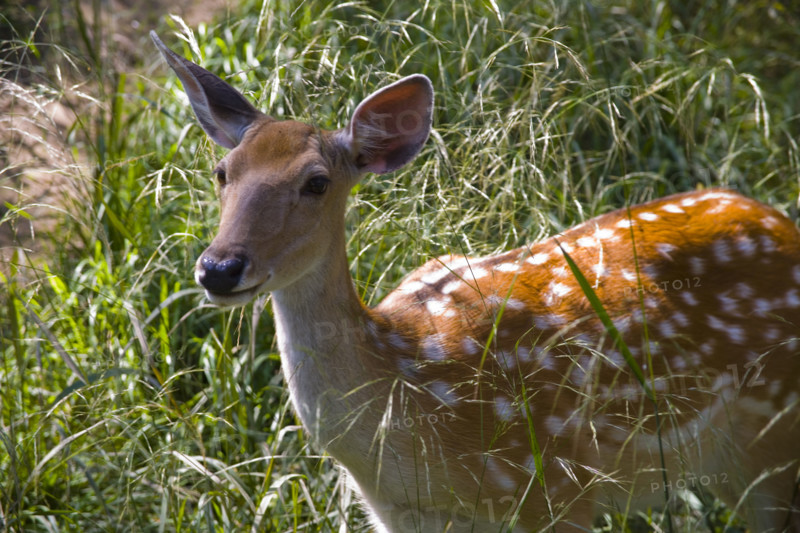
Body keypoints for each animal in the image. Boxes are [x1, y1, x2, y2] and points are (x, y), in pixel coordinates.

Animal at [151, 32, 800, 532]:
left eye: (316, 182)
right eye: (222, 172)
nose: (220, 268)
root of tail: (782, 222)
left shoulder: (555, 488)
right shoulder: (396, 516)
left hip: (774, 437)